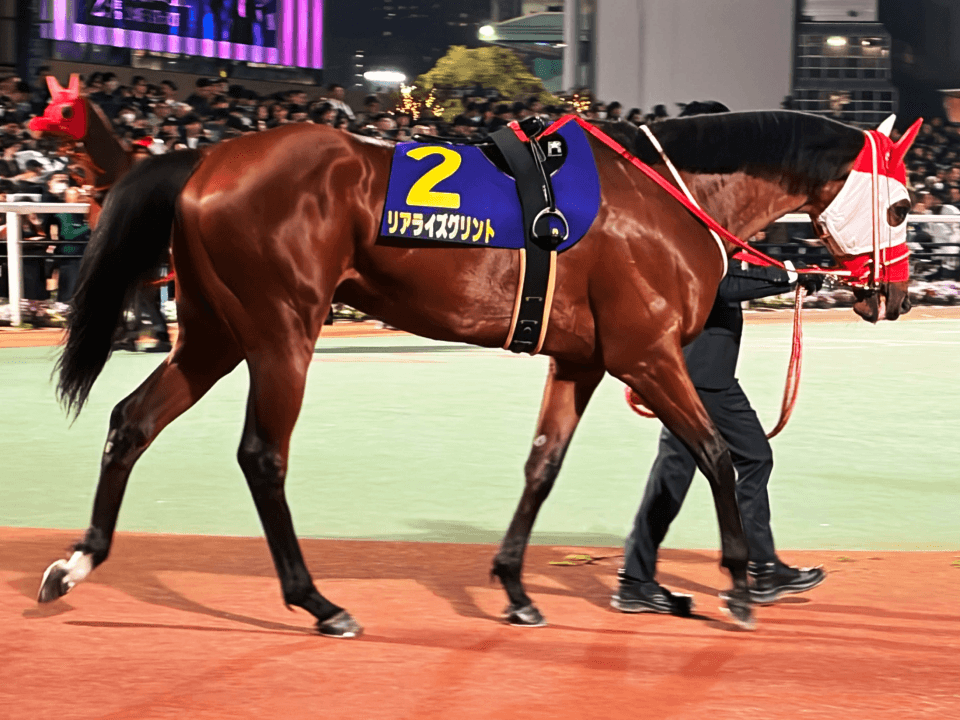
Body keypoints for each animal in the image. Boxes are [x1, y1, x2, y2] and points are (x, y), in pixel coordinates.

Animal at [35, 107, 918, 637]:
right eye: (904, 206)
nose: (898, 296)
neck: (669, 196)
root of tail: (207, 159)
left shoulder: (582, 360)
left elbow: (543, 467)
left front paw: (516, 589)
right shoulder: (646, 355)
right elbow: (717, 455)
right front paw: (738, 583)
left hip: (216, 333)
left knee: (132, 422)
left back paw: (76, 564)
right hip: (281, 329)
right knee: (262, 455)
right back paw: (316, 601)